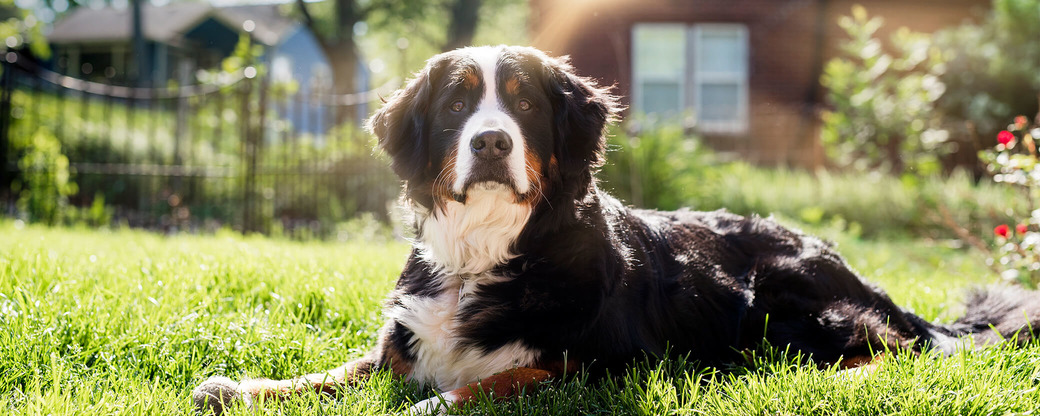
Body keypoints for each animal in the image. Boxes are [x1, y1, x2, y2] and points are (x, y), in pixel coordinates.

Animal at [193, 45, 1040, 416]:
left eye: (525, 103)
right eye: (459, 103)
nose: (491, 142)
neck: (490, 251)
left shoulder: (597, 364)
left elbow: (485, 383)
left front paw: (424, 409)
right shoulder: (401, 342)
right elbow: (333, 372)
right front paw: (241, 386)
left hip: (786, 288)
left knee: (890, 352)